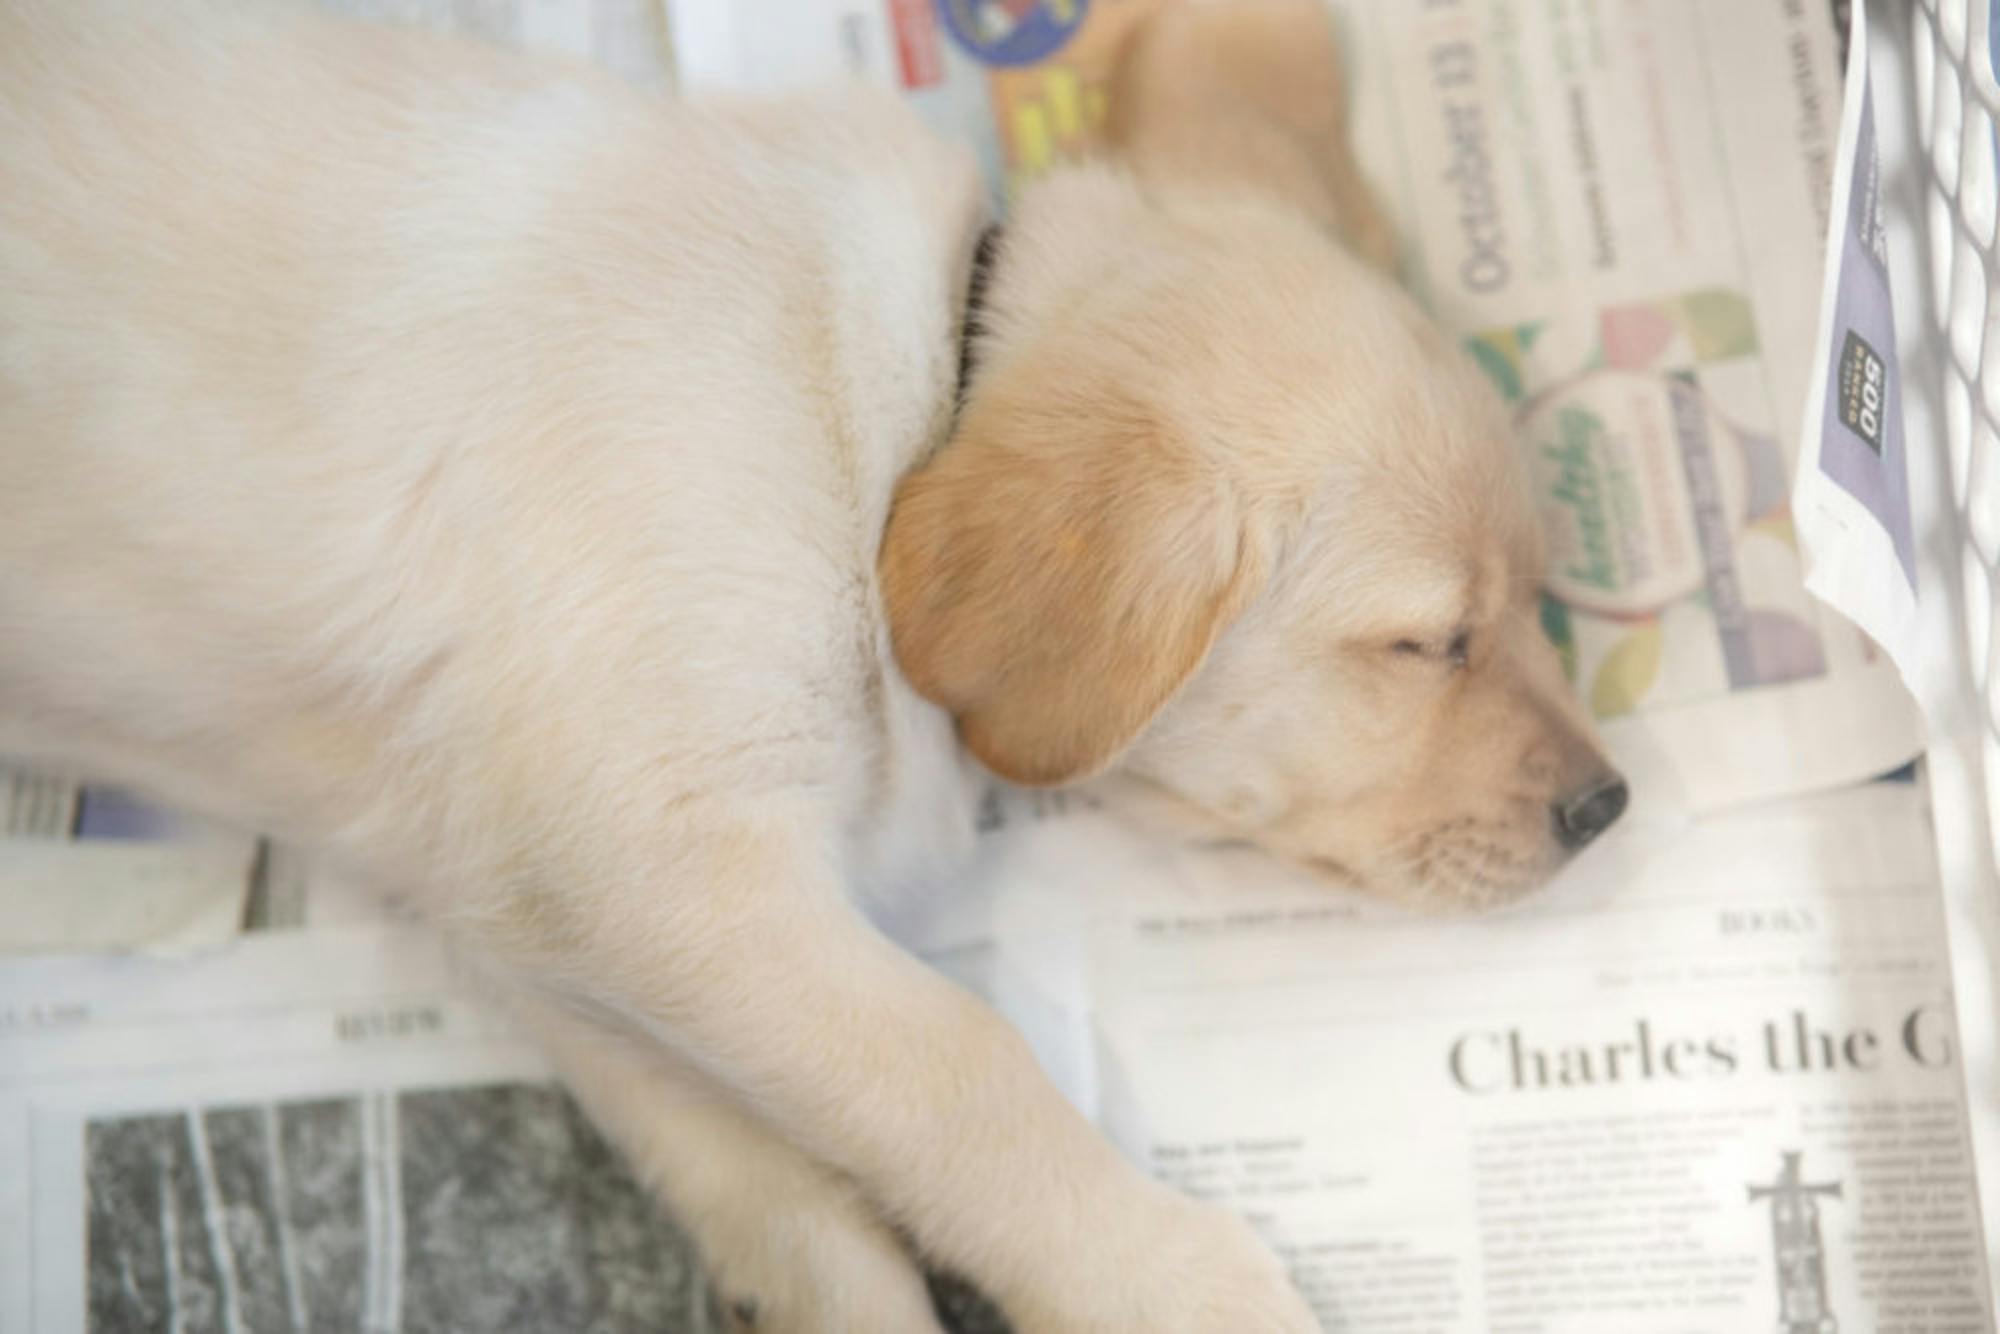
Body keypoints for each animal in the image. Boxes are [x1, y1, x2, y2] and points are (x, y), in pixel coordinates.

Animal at [0, 0, 1624, 1328]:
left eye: (1534, 594)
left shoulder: (511, 895)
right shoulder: (651, 856)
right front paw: (1163, 1282)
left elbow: (757, 1156)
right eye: (1426, 641)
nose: (1611, 807)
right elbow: (955, 1064)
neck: (908, 397)